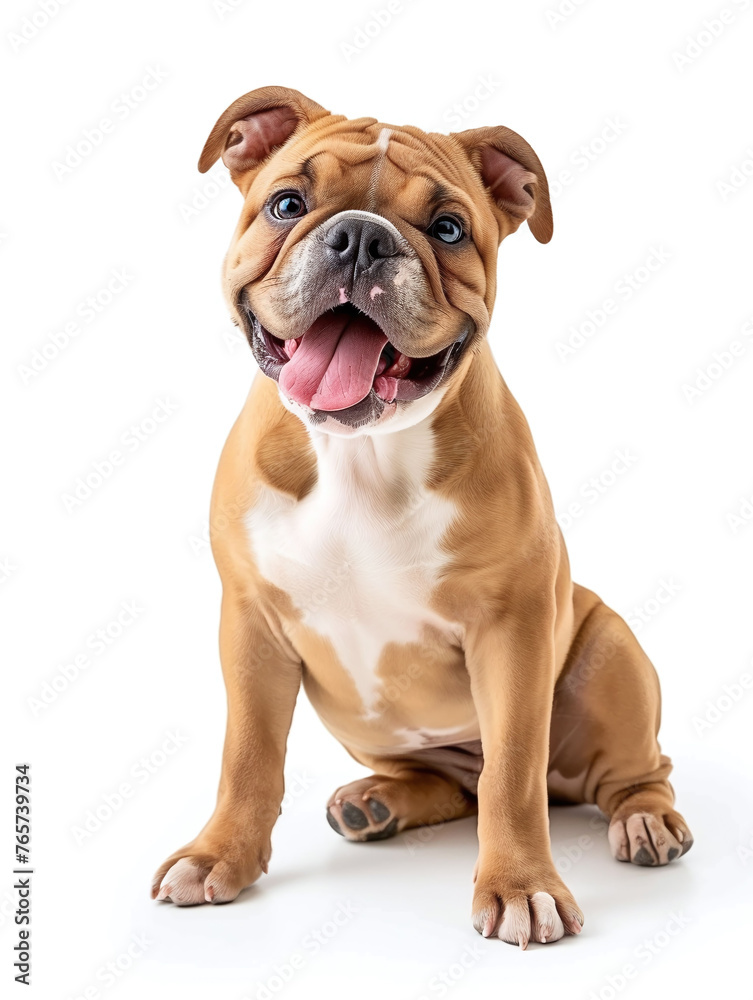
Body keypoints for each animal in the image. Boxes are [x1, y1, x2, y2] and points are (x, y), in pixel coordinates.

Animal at [153, 86, 692, 944]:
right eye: (286, 204)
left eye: (447, 229)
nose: (359, 239)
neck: (359, 453)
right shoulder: (251, 626)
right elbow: (248, 755)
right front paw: (218, 856)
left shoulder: (511, 633)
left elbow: (512, 772)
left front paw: (520, 885)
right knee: (450, 785)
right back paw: (376, 802)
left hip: (611, 654)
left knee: (621, 773)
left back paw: (643, 820)